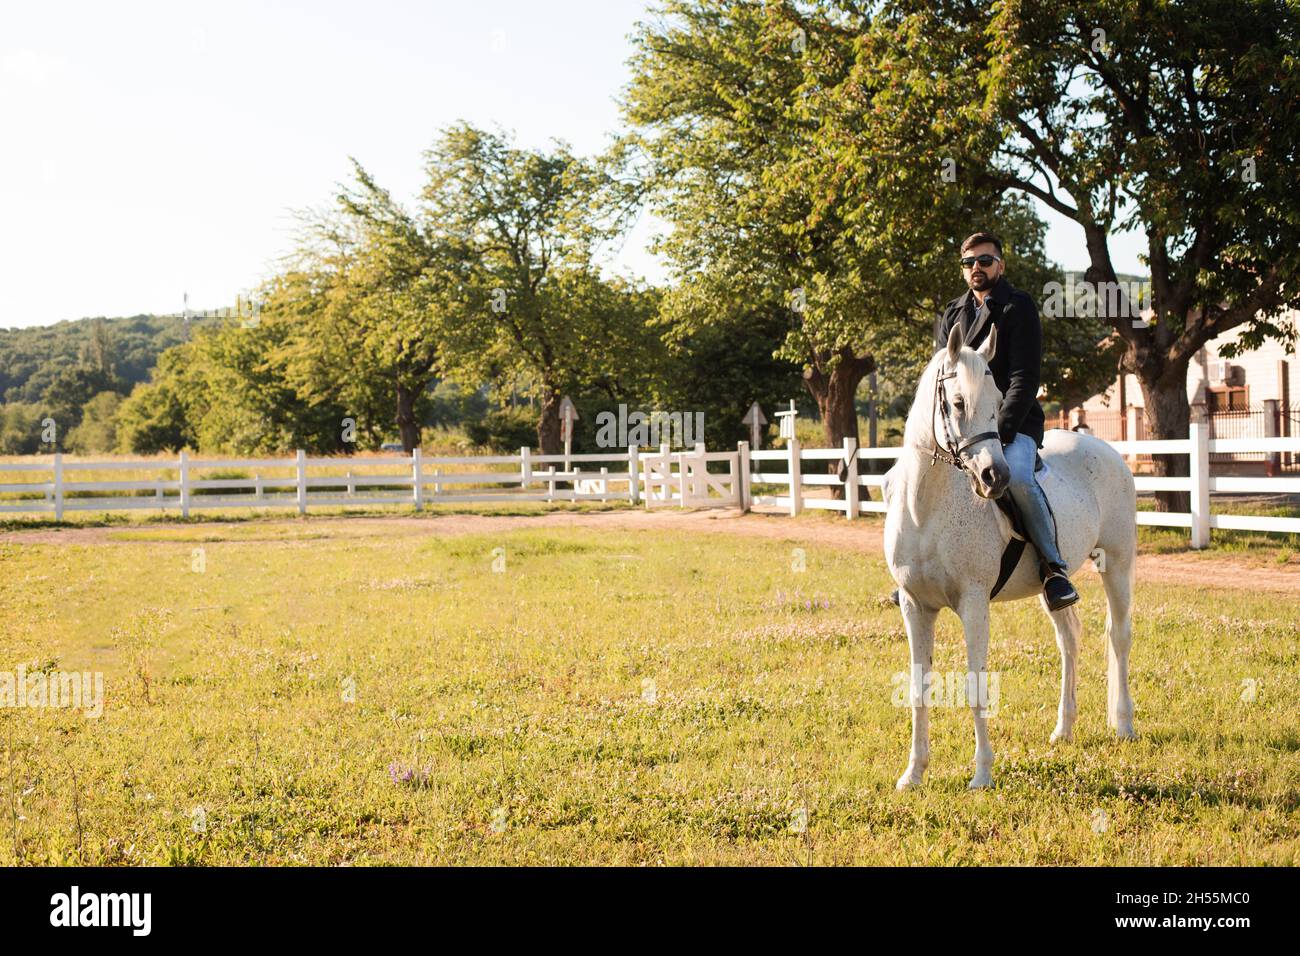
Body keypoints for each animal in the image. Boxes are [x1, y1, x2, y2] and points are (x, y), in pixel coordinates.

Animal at [881, 323, 1137, 790]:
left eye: (999, 401)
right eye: (958, 402)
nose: (994, 477)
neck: (927, 508)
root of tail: (1106, 449)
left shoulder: (974, 603)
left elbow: (975, 684)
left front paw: (982, 773)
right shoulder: (914, 606)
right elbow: (918, 687)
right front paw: (913, 774)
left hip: (1118, 562)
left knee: (1119, 636)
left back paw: (1124, 724)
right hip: (1052, 586)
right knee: (1069, 638)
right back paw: (1063, 729)